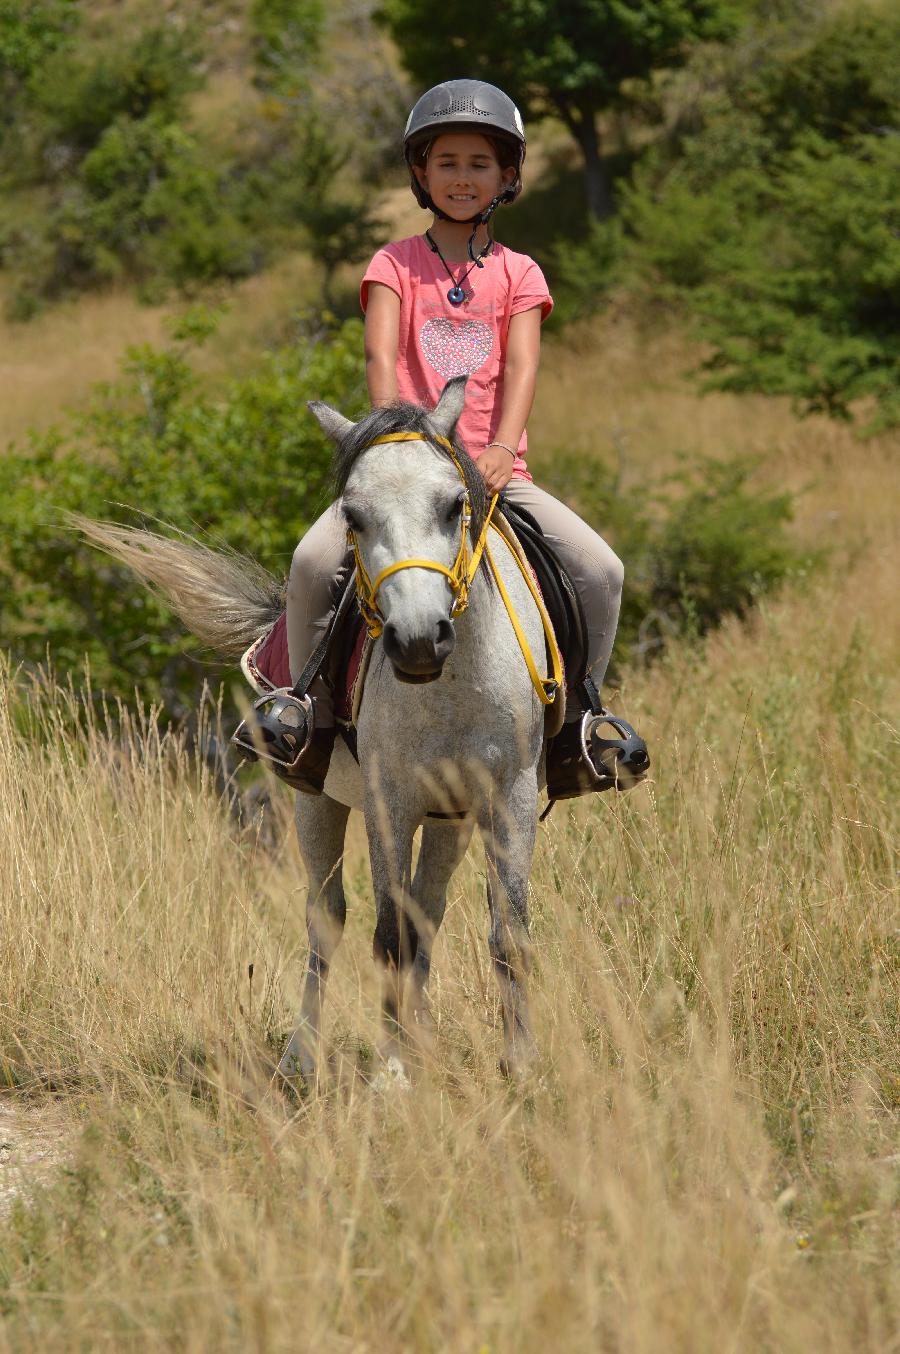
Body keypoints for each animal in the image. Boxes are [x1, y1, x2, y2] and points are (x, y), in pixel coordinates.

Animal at [78, 376, 546, 1083]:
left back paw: (423, 1040)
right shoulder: (387, 801)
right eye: (353, 517)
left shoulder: (508, 798)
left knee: (428, 911)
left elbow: (505, 934)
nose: (417, 641)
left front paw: (518, 1066)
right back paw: (302, 1058)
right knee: (328, 919)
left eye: (454, 505)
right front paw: (393, 1075)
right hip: (314, 802)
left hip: (450, 819)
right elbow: (388, 934)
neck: (450, 687)